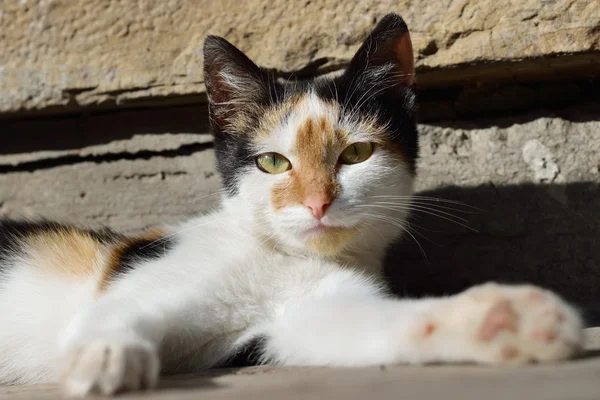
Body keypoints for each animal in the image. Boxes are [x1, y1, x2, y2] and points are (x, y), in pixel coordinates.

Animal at [0, 13, 584, 396]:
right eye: (273, 163)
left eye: (356, 153)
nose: (317, 203)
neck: (284, 258)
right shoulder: (145, 274)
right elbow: (112, 311)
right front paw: (103, 358)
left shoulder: (289, 324)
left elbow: (372, 327)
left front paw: (502, 320)